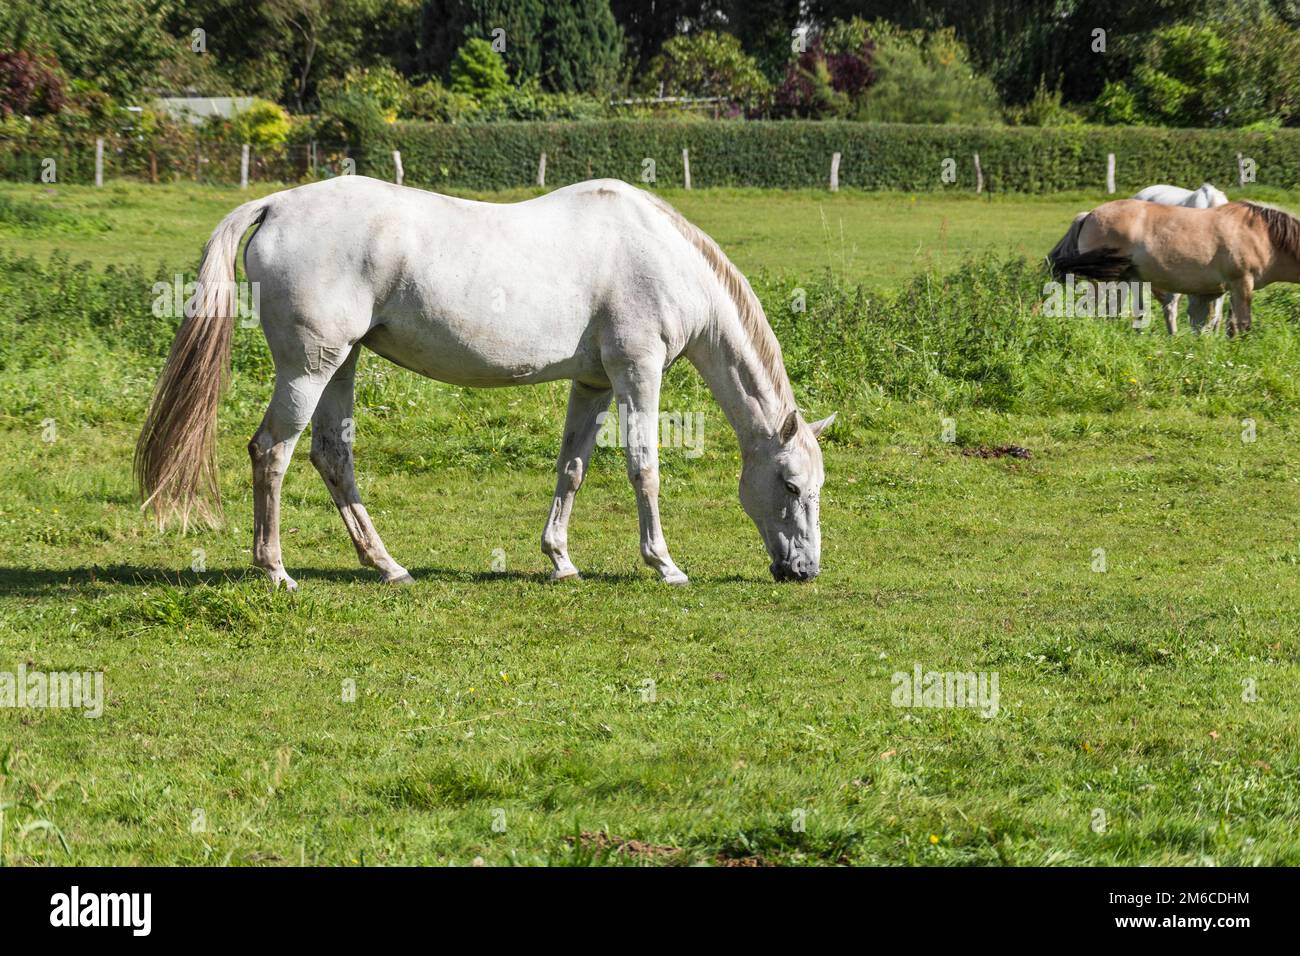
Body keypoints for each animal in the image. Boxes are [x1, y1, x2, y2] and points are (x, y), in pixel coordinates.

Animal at [135, 176, 835, 589]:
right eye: (790, 484)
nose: (803, 571)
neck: (659, 254)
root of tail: (277, 204)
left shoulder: (594, 385)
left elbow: (572, 468)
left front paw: (561, 561)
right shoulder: (637, 372)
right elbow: (644, 467)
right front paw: (664, 564)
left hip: (341, 364)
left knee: (332, 456)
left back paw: (387, 566)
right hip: (309, 370)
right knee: (271, 453)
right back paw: (276, 570)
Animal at [1048, 199, 1300, 336]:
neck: (1262, 235)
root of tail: (1088, 215)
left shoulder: (1226, 289)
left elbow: (1225, 324)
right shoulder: (1242, 283)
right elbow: (1242, 324)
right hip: (1104, 282)